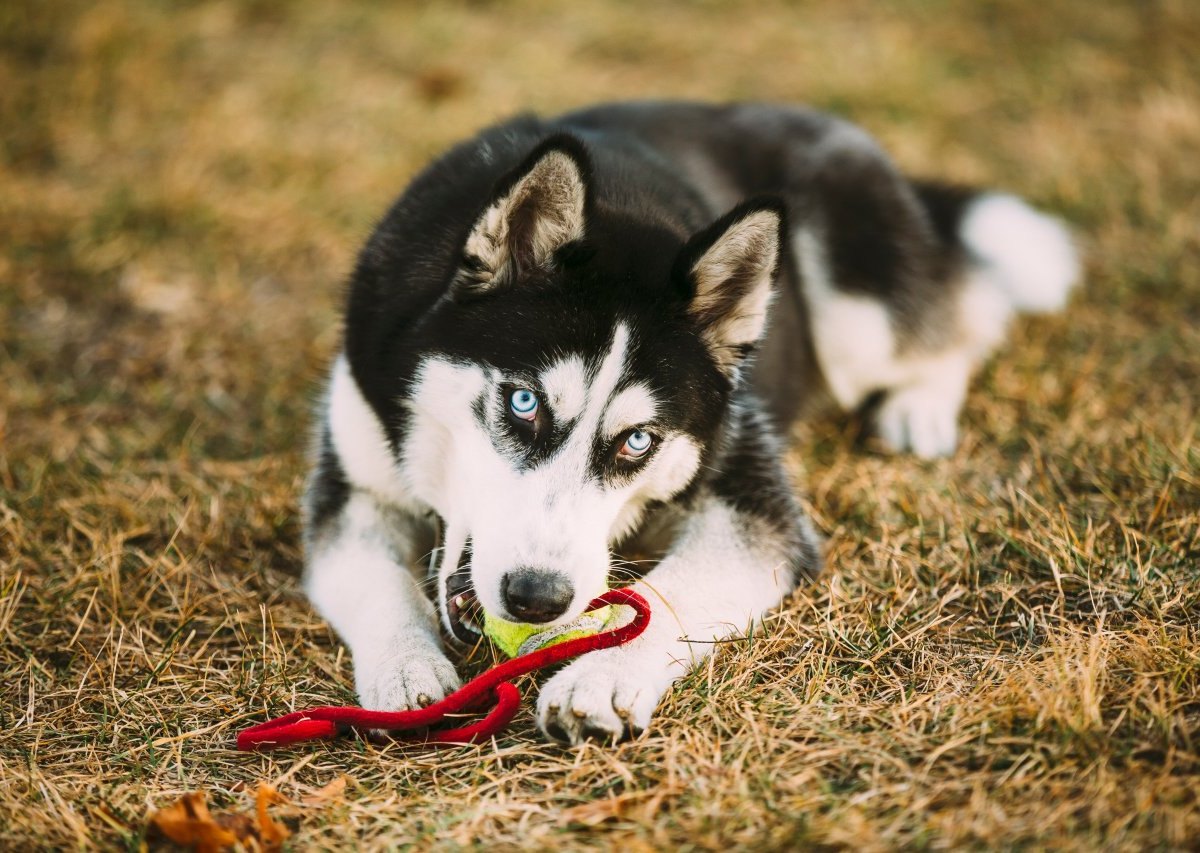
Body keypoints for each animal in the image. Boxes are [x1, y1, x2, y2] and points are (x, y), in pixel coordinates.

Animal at [302, 103, 1080, 748]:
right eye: (523, 403)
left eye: (637, 441)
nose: (537, 597)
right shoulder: (353, 483)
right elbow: (374, 578)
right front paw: (405, 671)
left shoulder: (752, 495)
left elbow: (668, 589)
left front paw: (601, 675)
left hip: (860, 319)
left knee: (966, 312)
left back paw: (920, 405)